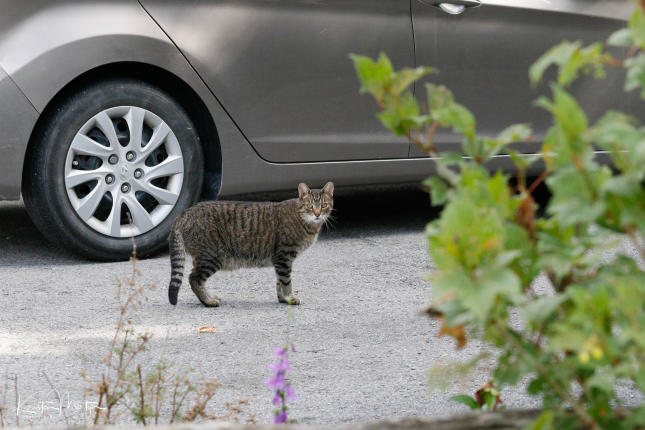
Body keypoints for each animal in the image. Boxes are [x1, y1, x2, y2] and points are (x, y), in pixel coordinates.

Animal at [167, 181, 332, 306]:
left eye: (324, 206)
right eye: (310, 206)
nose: (317, 214)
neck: (306, 222)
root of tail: (184, 213)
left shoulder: (280, 261)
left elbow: (279, 281)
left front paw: (282, 298)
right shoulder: (284, 256)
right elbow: (286, 281)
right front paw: (289, 298)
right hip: (212, 256)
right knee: (194, 279)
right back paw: (208, 301)